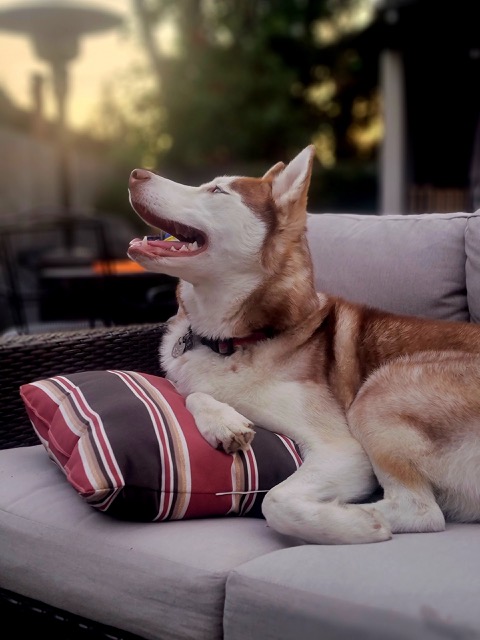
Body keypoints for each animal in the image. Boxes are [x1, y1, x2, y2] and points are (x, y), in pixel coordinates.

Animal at [126, 148, 480, 544]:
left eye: (217, 190)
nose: (136, 174)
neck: (237, 340)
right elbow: (191, 393)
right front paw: (224, 422)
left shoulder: (342, 451)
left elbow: (275, 501)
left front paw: (350, 524)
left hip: (378, 392)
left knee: (423, 512)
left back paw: (363, 518)